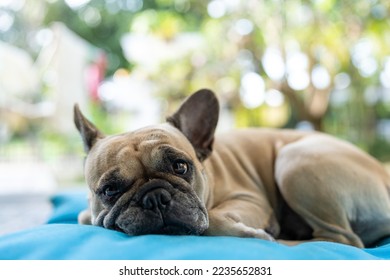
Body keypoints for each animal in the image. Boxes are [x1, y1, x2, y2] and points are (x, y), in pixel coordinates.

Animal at [74, 89, 390, 247]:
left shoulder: (248, 199)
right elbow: (83, 217)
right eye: (110, 190)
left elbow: (212, 220)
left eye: (180, 167)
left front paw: (256, 234)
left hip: (294, 162)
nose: (155, 197)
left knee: (340, 239)